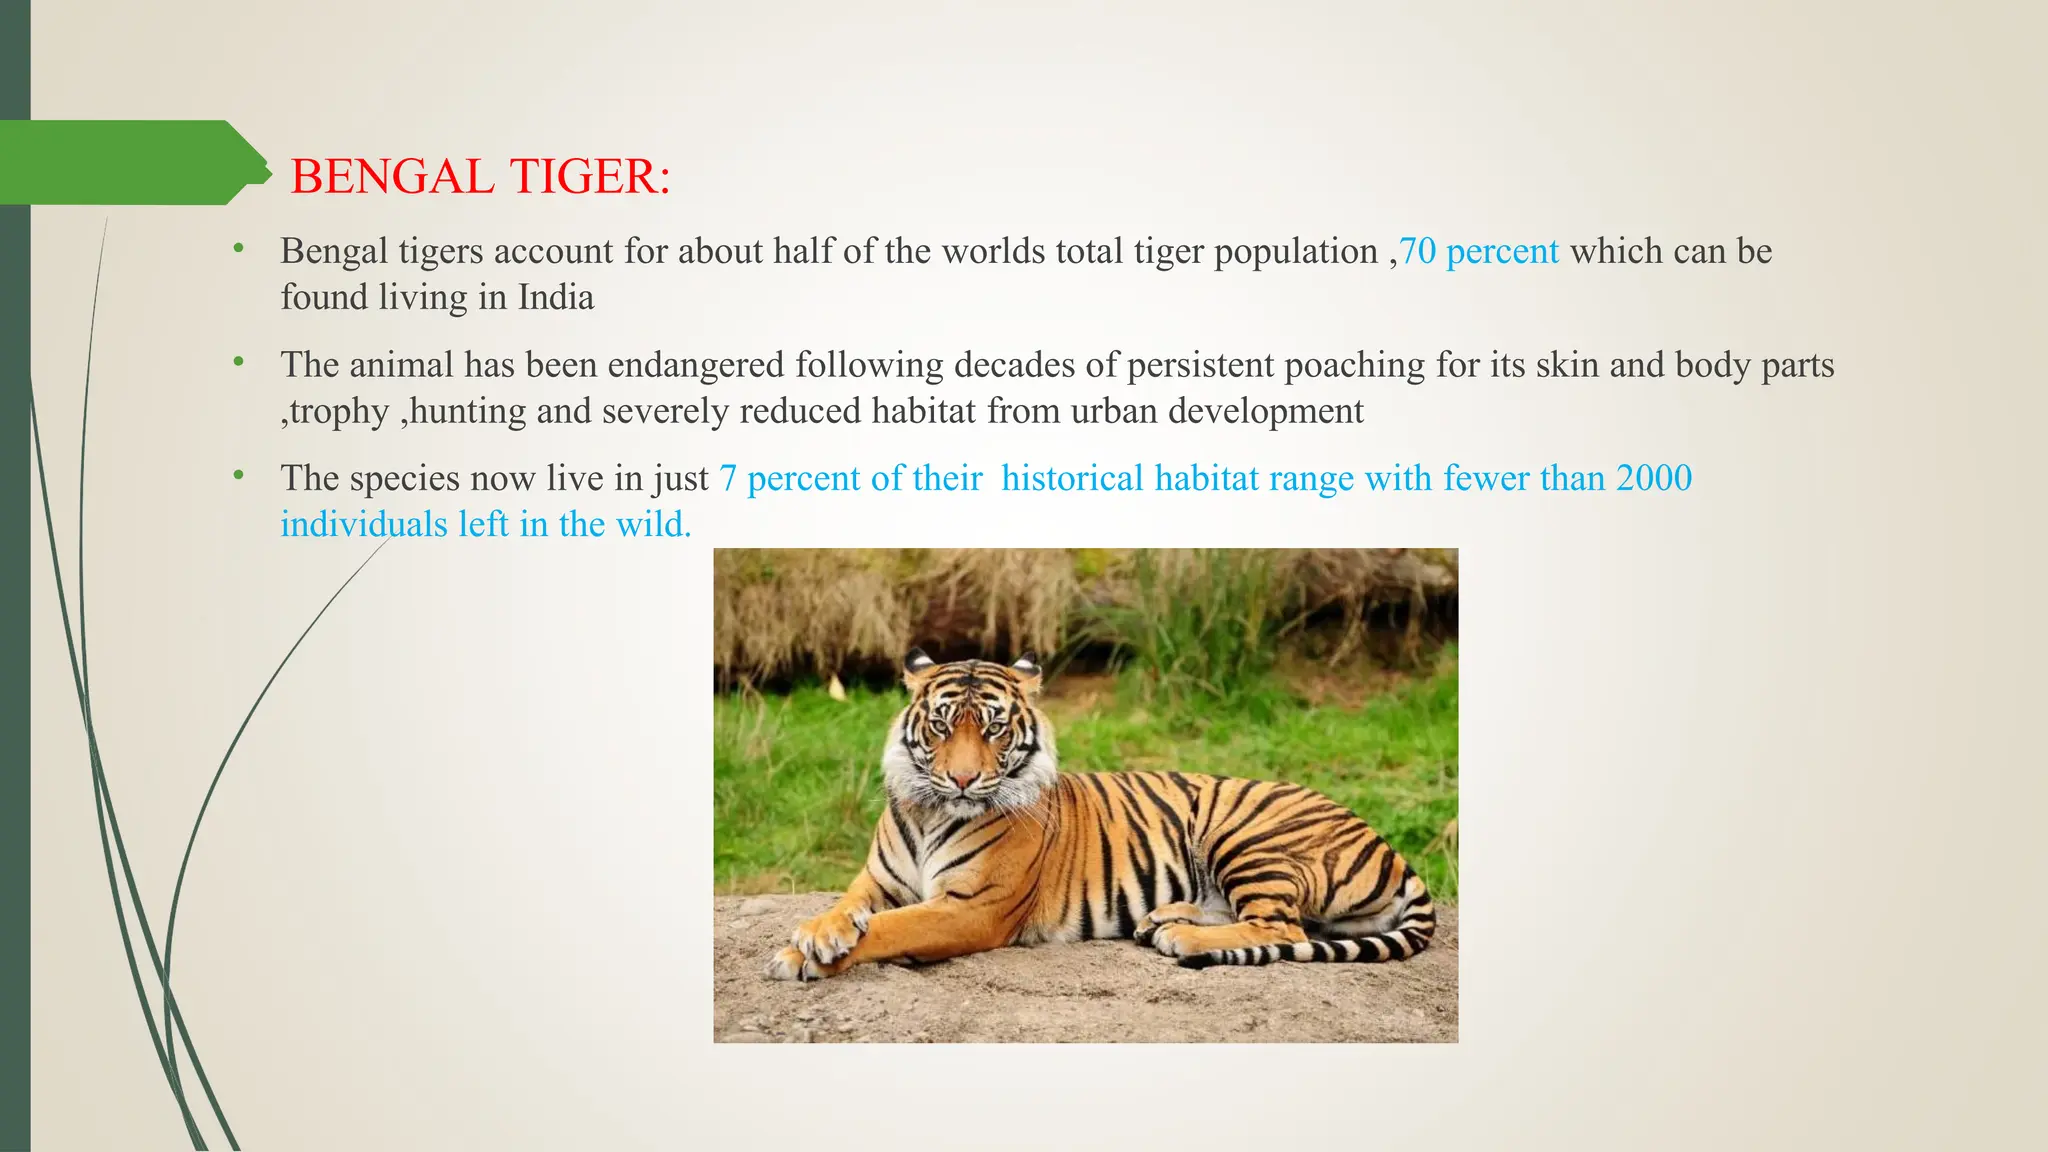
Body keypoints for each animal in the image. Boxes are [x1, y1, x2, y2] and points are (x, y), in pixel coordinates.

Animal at [765, 649, 1436, 980]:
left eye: (994, 728)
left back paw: (1180, 936)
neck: (933, 812)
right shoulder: (876, 881)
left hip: (1245, 833)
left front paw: (804, 957)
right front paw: (815, 935)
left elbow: (891, 929)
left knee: (1284, 928)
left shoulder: (972, 908)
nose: (962, 778)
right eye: (941, 725)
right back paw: (1162, 919)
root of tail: (1387, 844)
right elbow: (848, 909)